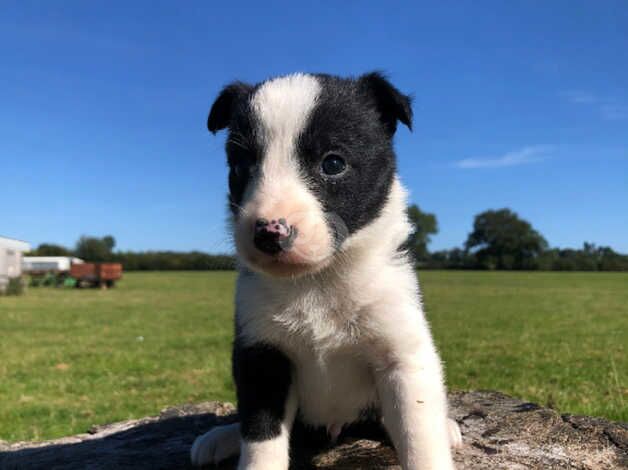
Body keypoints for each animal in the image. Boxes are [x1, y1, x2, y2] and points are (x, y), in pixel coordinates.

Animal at [189, 71, 458, 468]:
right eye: (240, 168)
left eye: (333, 164)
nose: (269, 232)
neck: (318, 280)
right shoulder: (261, 356)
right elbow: (260, 434)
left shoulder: (403, 356)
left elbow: (419, 435)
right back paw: (220, 438)